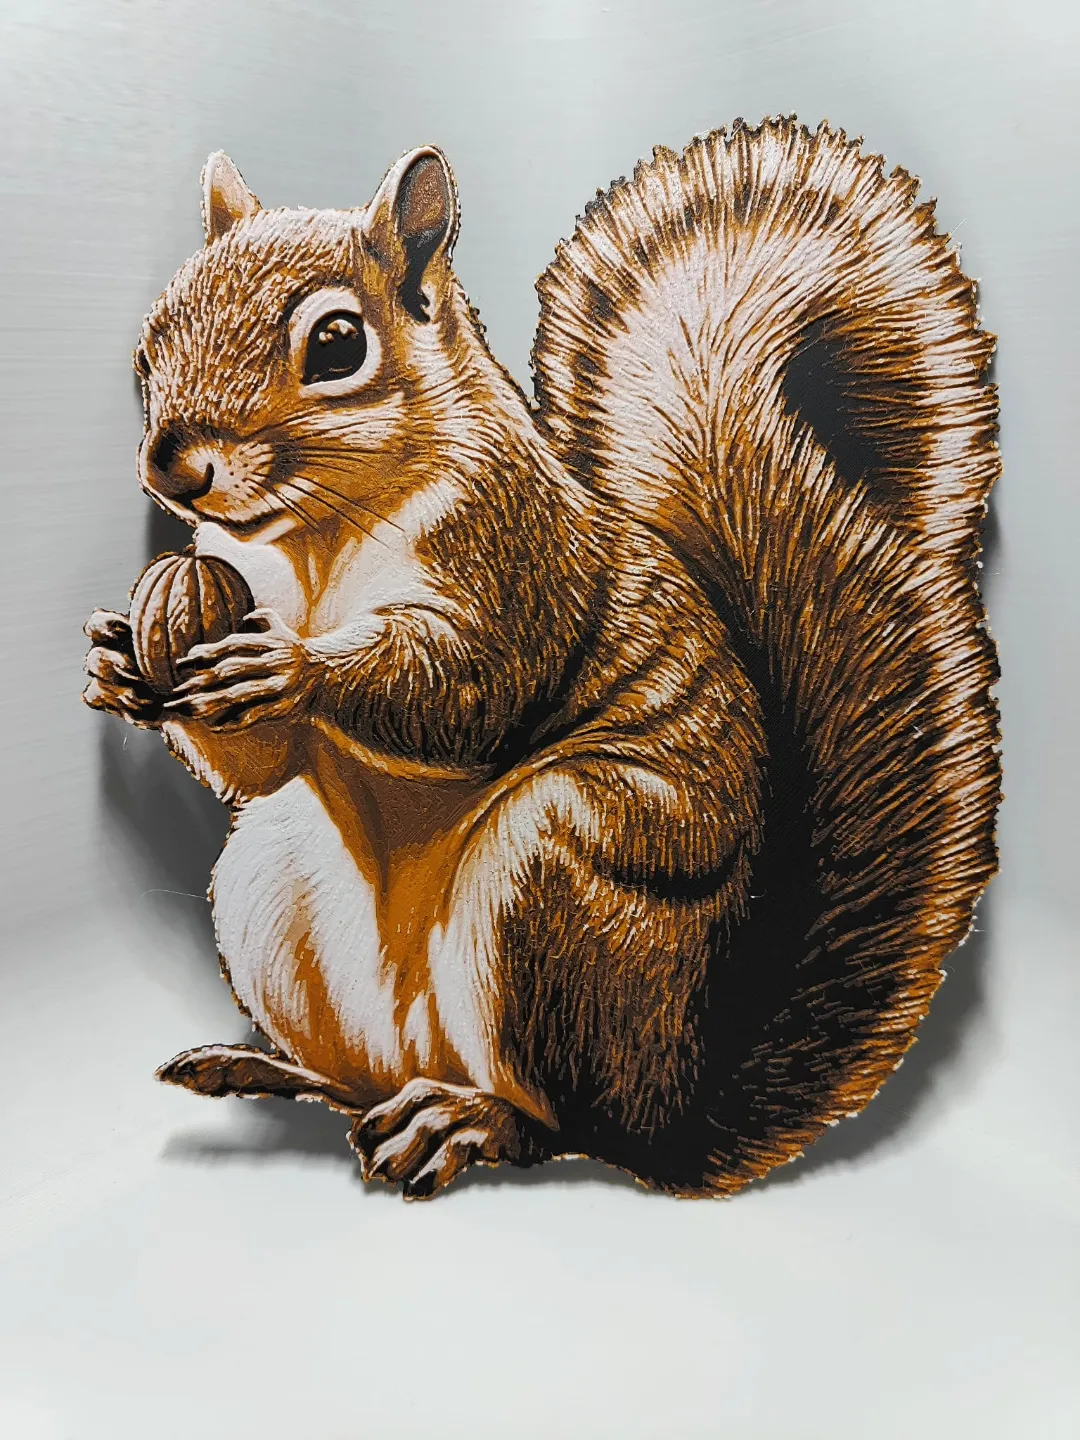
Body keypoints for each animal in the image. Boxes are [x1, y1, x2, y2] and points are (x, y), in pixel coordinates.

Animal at [83, 117, 1000, 1199]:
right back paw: (271, 1066)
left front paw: (299, 671)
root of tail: (673, 1107)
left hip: (554, 892)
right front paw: (119, 661)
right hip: (274, 883)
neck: (316, 542)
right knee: (358, 1079)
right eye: (150, 344)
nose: (171, 467)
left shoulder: (517, 560)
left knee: (564, 1124)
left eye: (338, 343)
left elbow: (467, 687)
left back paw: (467, 1120)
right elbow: (260, 764)